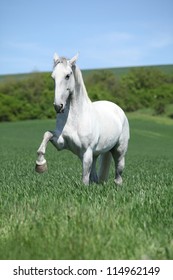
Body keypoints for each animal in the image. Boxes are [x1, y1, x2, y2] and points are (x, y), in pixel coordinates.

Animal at [35, 53, 130, 185]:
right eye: (53, 77)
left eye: (67, 75)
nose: (58, 106)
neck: (75, 119)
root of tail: (117, 108)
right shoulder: (61, 143)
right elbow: (47, 134)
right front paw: (40, 165)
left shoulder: (86, 152)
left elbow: (85, 178)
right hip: (96, 154)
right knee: (94, 176)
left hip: (119, 150)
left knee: (118, 174)